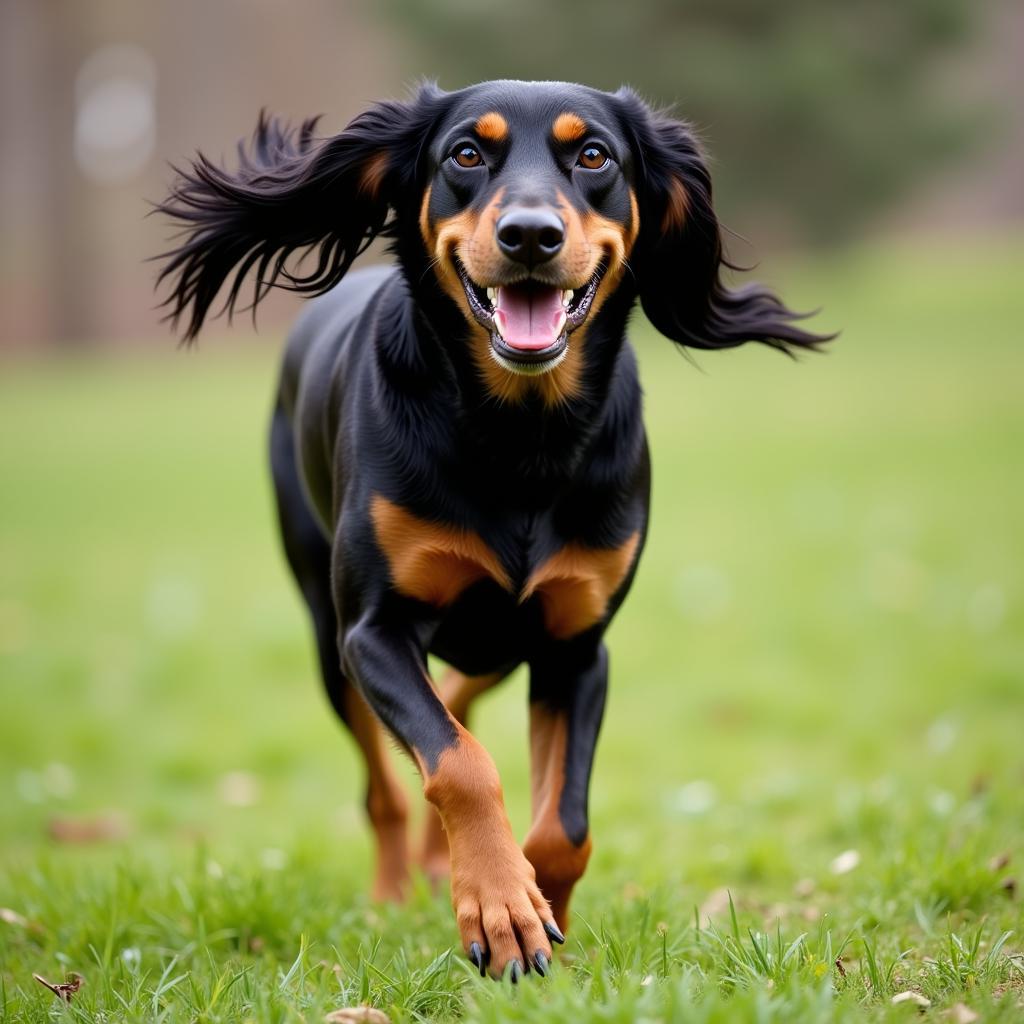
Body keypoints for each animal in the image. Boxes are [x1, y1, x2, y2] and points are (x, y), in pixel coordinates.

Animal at [153, 77, 831, 974]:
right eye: (466, 153)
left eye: (594, 155)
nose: (531, 234)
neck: (521, 434)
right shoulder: (373, 632)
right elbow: (458, 767)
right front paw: (501, 908)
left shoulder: (576, 644)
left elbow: (564, 826)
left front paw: (537, 912)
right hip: (326, 635)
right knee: (385, 782)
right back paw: (394, 890)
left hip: (507, 638)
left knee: (458, 695)